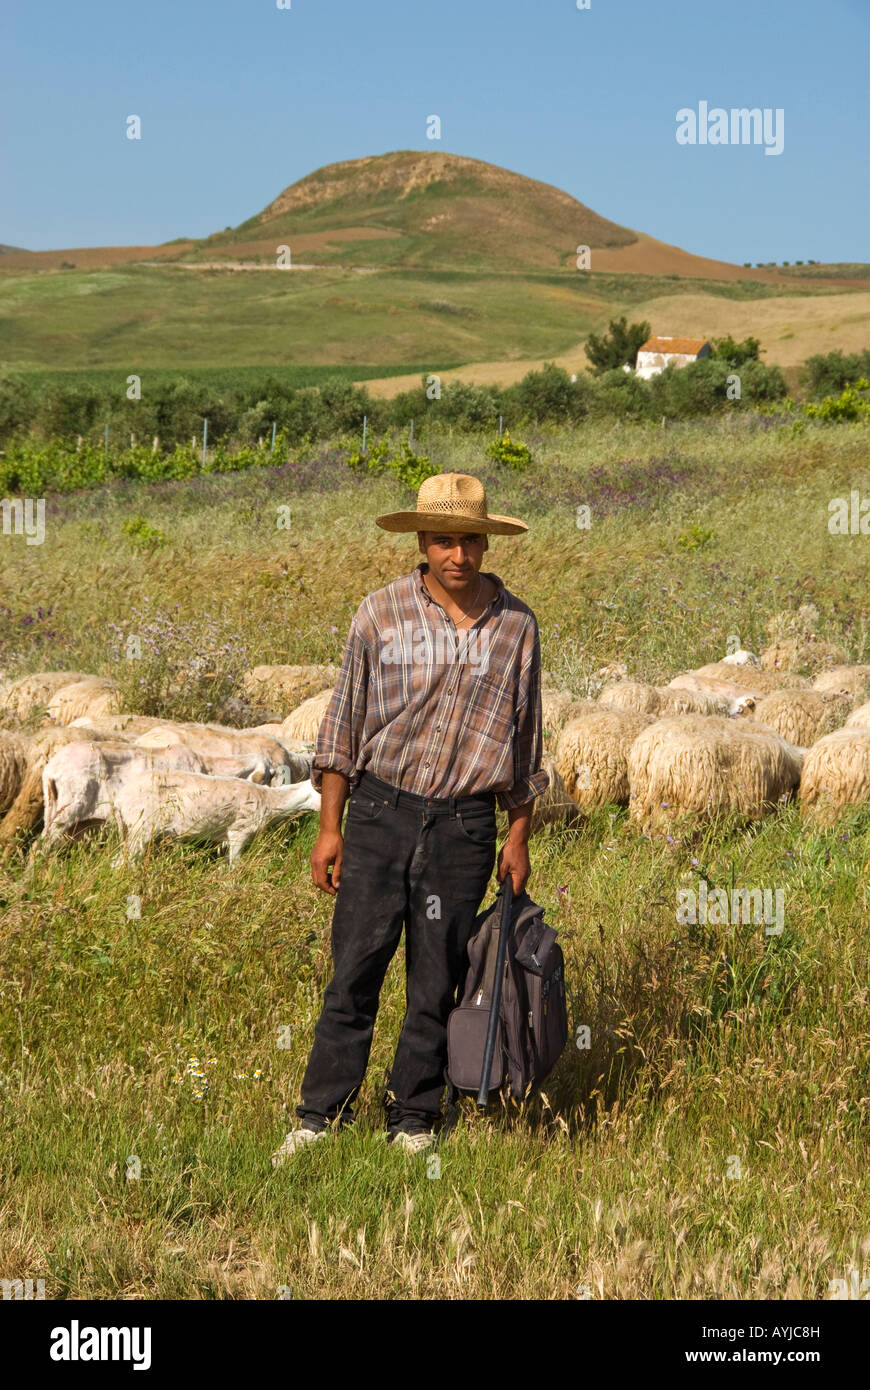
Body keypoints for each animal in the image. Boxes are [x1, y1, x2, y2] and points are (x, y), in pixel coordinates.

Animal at [101, 767, 318, 861]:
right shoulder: (238, 832)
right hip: (141, 827)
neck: (269, 800)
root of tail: (119, 800)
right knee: (120, 863)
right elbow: (234, 865)